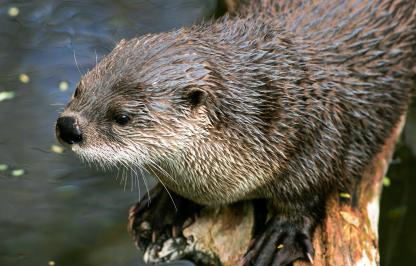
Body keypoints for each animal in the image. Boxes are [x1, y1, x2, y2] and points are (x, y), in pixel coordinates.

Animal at [56, 1, 416, 264]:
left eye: (122, 117)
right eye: (79, 88)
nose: (68, 126)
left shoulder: (320, 137)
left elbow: (309, 191)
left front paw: (282, 236)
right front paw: (164, 206)